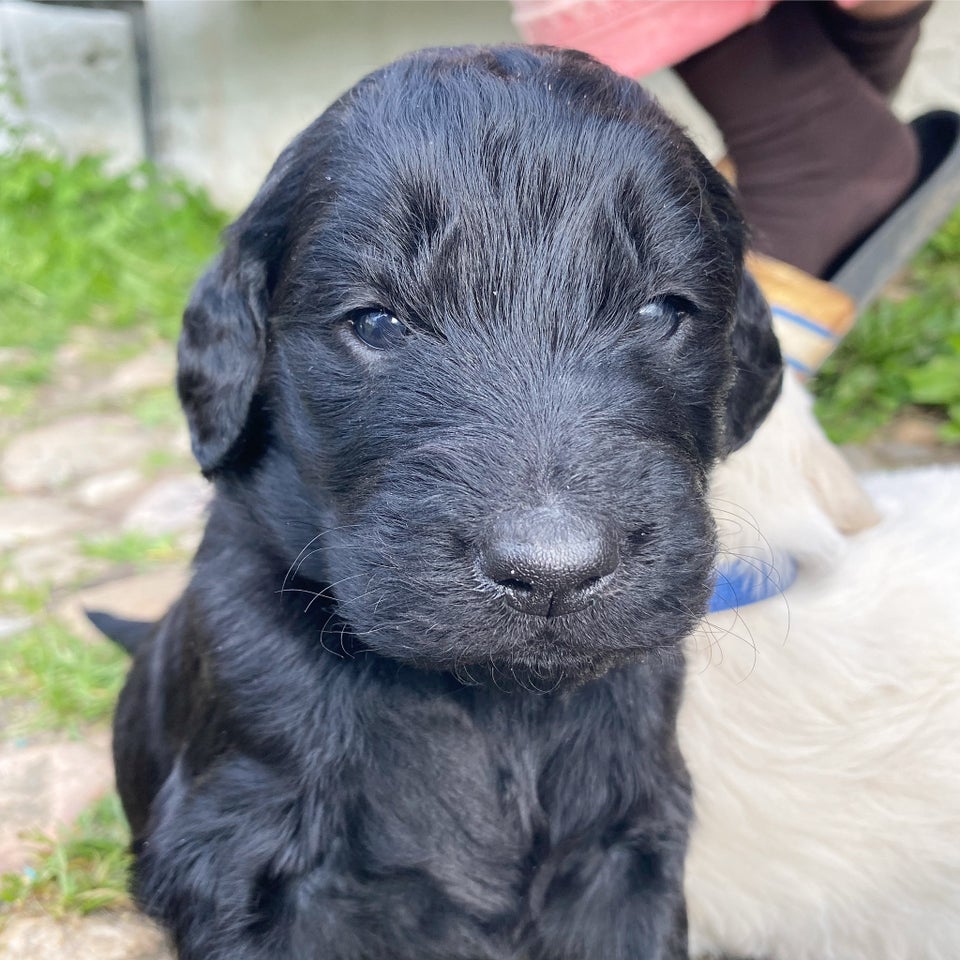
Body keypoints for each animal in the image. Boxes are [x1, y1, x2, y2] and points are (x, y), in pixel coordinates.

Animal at [107, 45, 780, 960]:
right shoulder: (249, 859)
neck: (491, 701)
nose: (553, 573)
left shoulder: (624, 846)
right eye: (376, 323)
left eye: (661, 309)